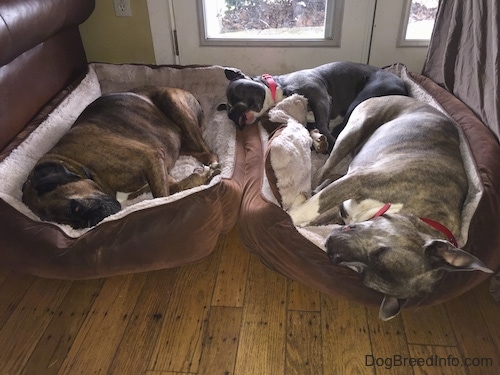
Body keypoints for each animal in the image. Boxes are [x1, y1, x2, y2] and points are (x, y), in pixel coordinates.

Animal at [288, 95, 494, 322]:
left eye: (363, 274)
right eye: (380, 251)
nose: (331, 249)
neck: (418, 215)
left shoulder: (344, 205)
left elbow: (317, 211)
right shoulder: (358, 181)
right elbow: (312, 206)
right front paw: (289, 211)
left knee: (328, 176)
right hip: (354, 130)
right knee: (324, 169)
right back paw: (317, 145)